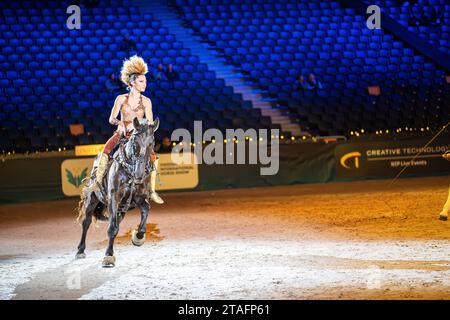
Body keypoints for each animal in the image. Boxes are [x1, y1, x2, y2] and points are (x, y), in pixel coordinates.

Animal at [74, 117, 158, 268]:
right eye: (134, 142)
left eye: (151, 143)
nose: (139, 174)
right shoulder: (114, 198)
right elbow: (112, 228)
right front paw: (108, 256)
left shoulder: (140, 198)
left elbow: (145, 211)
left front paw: (138, 237)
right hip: (92, 200)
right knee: (86, 222)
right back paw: (80, 251)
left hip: (121, 210)